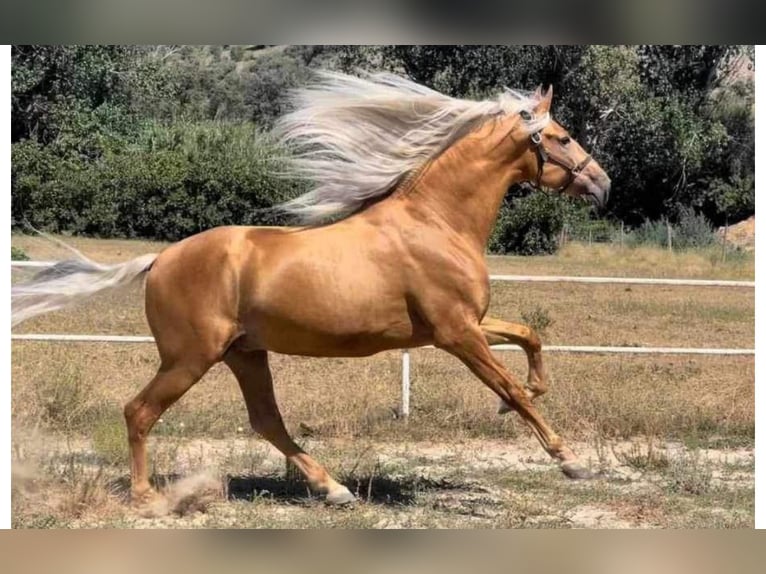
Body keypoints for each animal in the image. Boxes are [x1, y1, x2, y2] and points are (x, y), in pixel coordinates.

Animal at [12, 72, 612, 508]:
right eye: (560, 137)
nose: (603, 184)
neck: (435, 222)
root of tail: (160, 259)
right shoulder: (455, 332)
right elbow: (510, 383)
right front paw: (568, 459)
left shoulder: (462, 324)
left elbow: (529, 337)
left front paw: (524, 398)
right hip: (189, 357)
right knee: (139, 412)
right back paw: (146, 498)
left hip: (245, 354)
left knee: (267, 422)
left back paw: (334, 489)